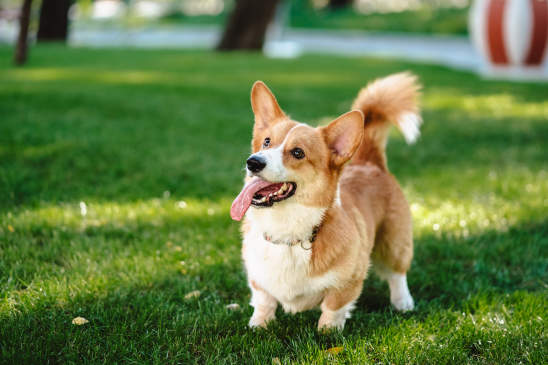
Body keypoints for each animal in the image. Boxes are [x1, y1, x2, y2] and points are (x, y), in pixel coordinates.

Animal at [229, 72, 422, 330]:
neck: (287, 233)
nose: (253, 162)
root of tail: (370, 162)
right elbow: (263, 301)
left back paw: (403, 302)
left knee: (397, 274)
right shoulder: (258, 279)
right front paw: (258, 325)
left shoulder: (349, 281)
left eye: (298, 152)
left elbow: (333, 307)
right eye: (266, 142)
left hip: (394, 241)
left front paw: (328, 332)